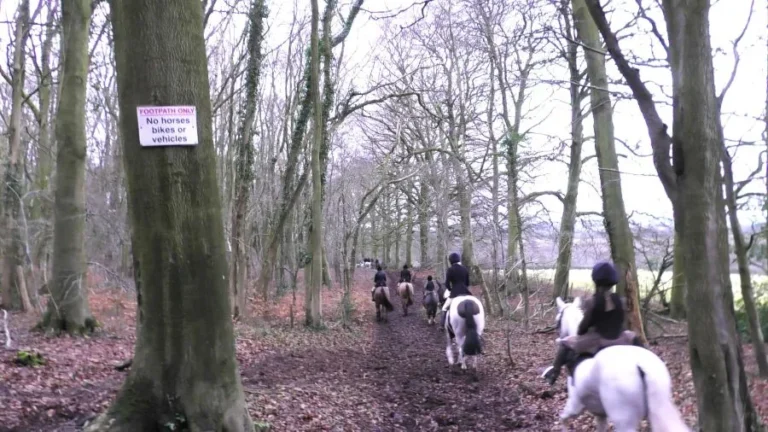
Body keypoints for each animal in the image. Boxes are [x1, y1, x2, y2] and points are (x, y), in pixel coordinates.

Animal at [544, 296, 688, 432]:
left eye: (558, 321)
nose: (560, 335)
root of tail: (640, 366)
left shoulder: (575, 405)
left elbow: (563, 419)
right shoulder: (600, 415)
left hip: (623, 420)